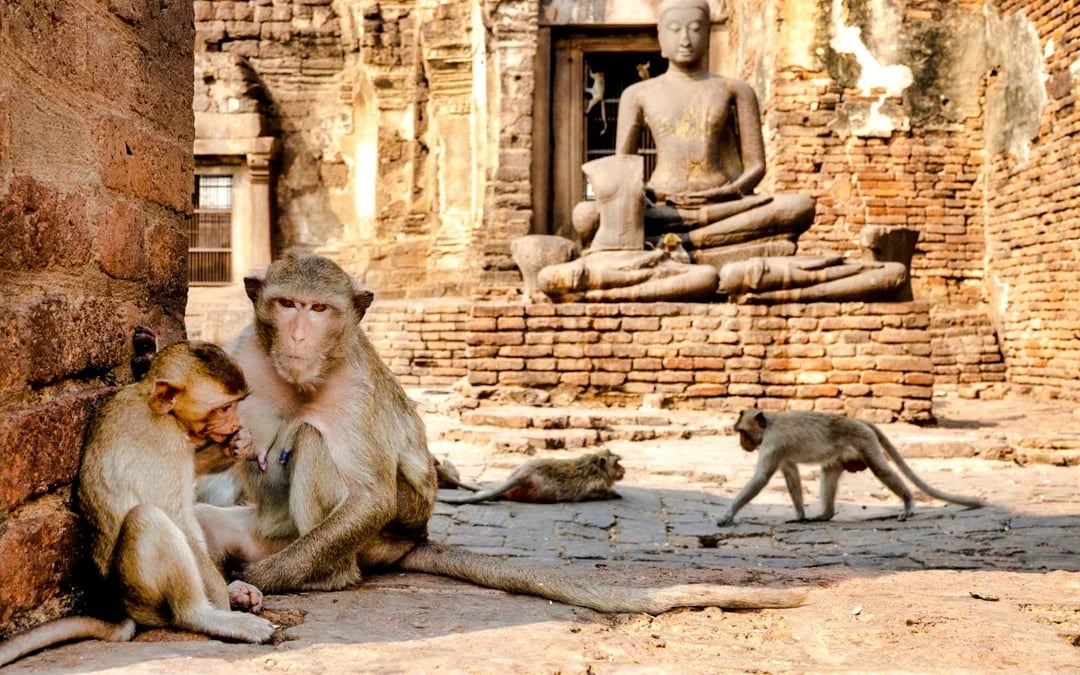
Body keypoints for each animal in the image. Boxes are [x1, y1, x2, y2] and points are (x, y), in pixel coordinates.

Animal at [0, 342, 275, 667]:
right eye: (223, 407)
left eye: (235, 405)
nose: (235, 423)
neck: (155, 404)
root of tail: (124, 607)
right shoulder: (165, 439)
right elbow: (176, 515)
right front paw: (223, 606)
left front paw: (237, 444)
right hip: (140, 592)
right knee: (149, 518)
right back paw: (204, 615)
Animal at [438, 449, 625, 505]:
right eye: (616, 463)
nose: (623, 469)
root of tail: (525, 473)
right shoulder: (596, 484)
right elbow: (595, 494)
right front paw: (614, 494)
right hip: (542, 491)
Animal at [717, 409, 986, 526]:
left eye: (742, 432)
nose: (742, 443)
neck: (771, 422)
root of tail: (857, 420)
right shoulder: (779, 451)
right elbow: (791, 471)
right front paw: (800, 515)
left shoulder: (773, 443)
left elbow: (761, 478)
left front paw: (727, 515)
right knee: (829, 472)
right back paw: (825, 514)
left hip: (864, 441)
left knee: (880, 469)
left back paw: (909, 503)